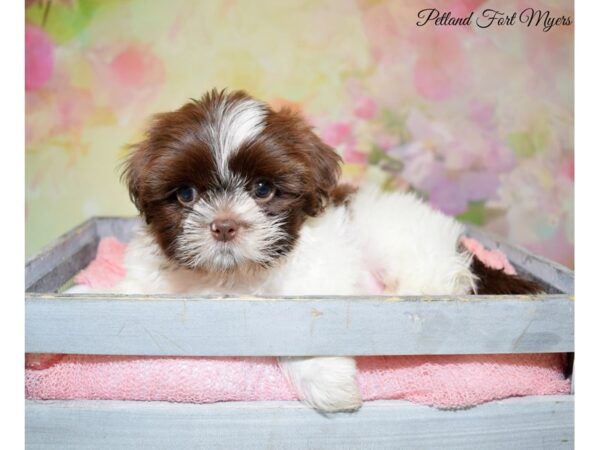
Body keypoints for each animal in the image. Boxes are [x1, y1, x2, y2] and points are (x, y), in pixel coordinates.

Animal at [116, 89, 540, 414]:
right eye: (186, 194)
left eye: (263, 189)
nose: (224, 225)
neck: (233, 277)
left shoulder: (314, 284)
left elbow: (307, 326)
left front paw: (329, 384)